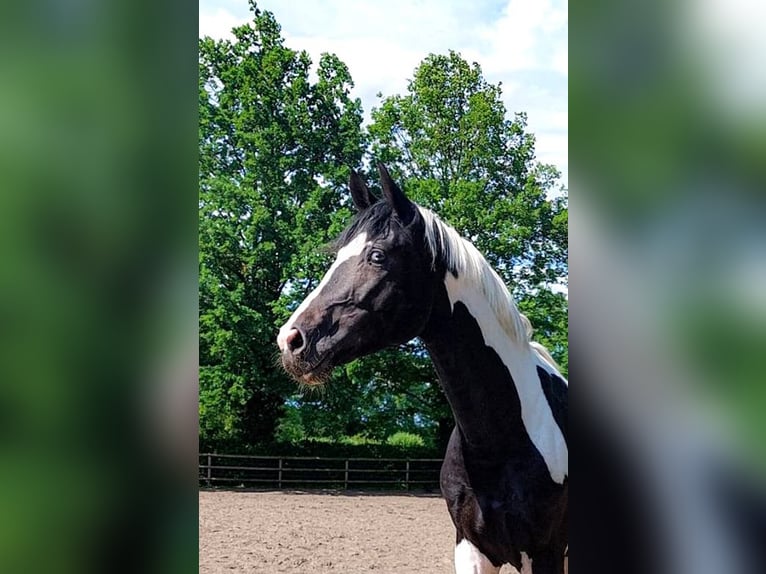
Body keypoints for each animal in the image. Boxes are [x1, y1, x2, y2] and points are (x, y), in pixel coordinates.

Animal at [277, 163, 568, 574]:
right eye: (336, 255)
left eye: (377, 255)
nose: (291, 340)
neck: (502, 442)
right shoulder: (471, 548)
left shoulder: (546, 553)